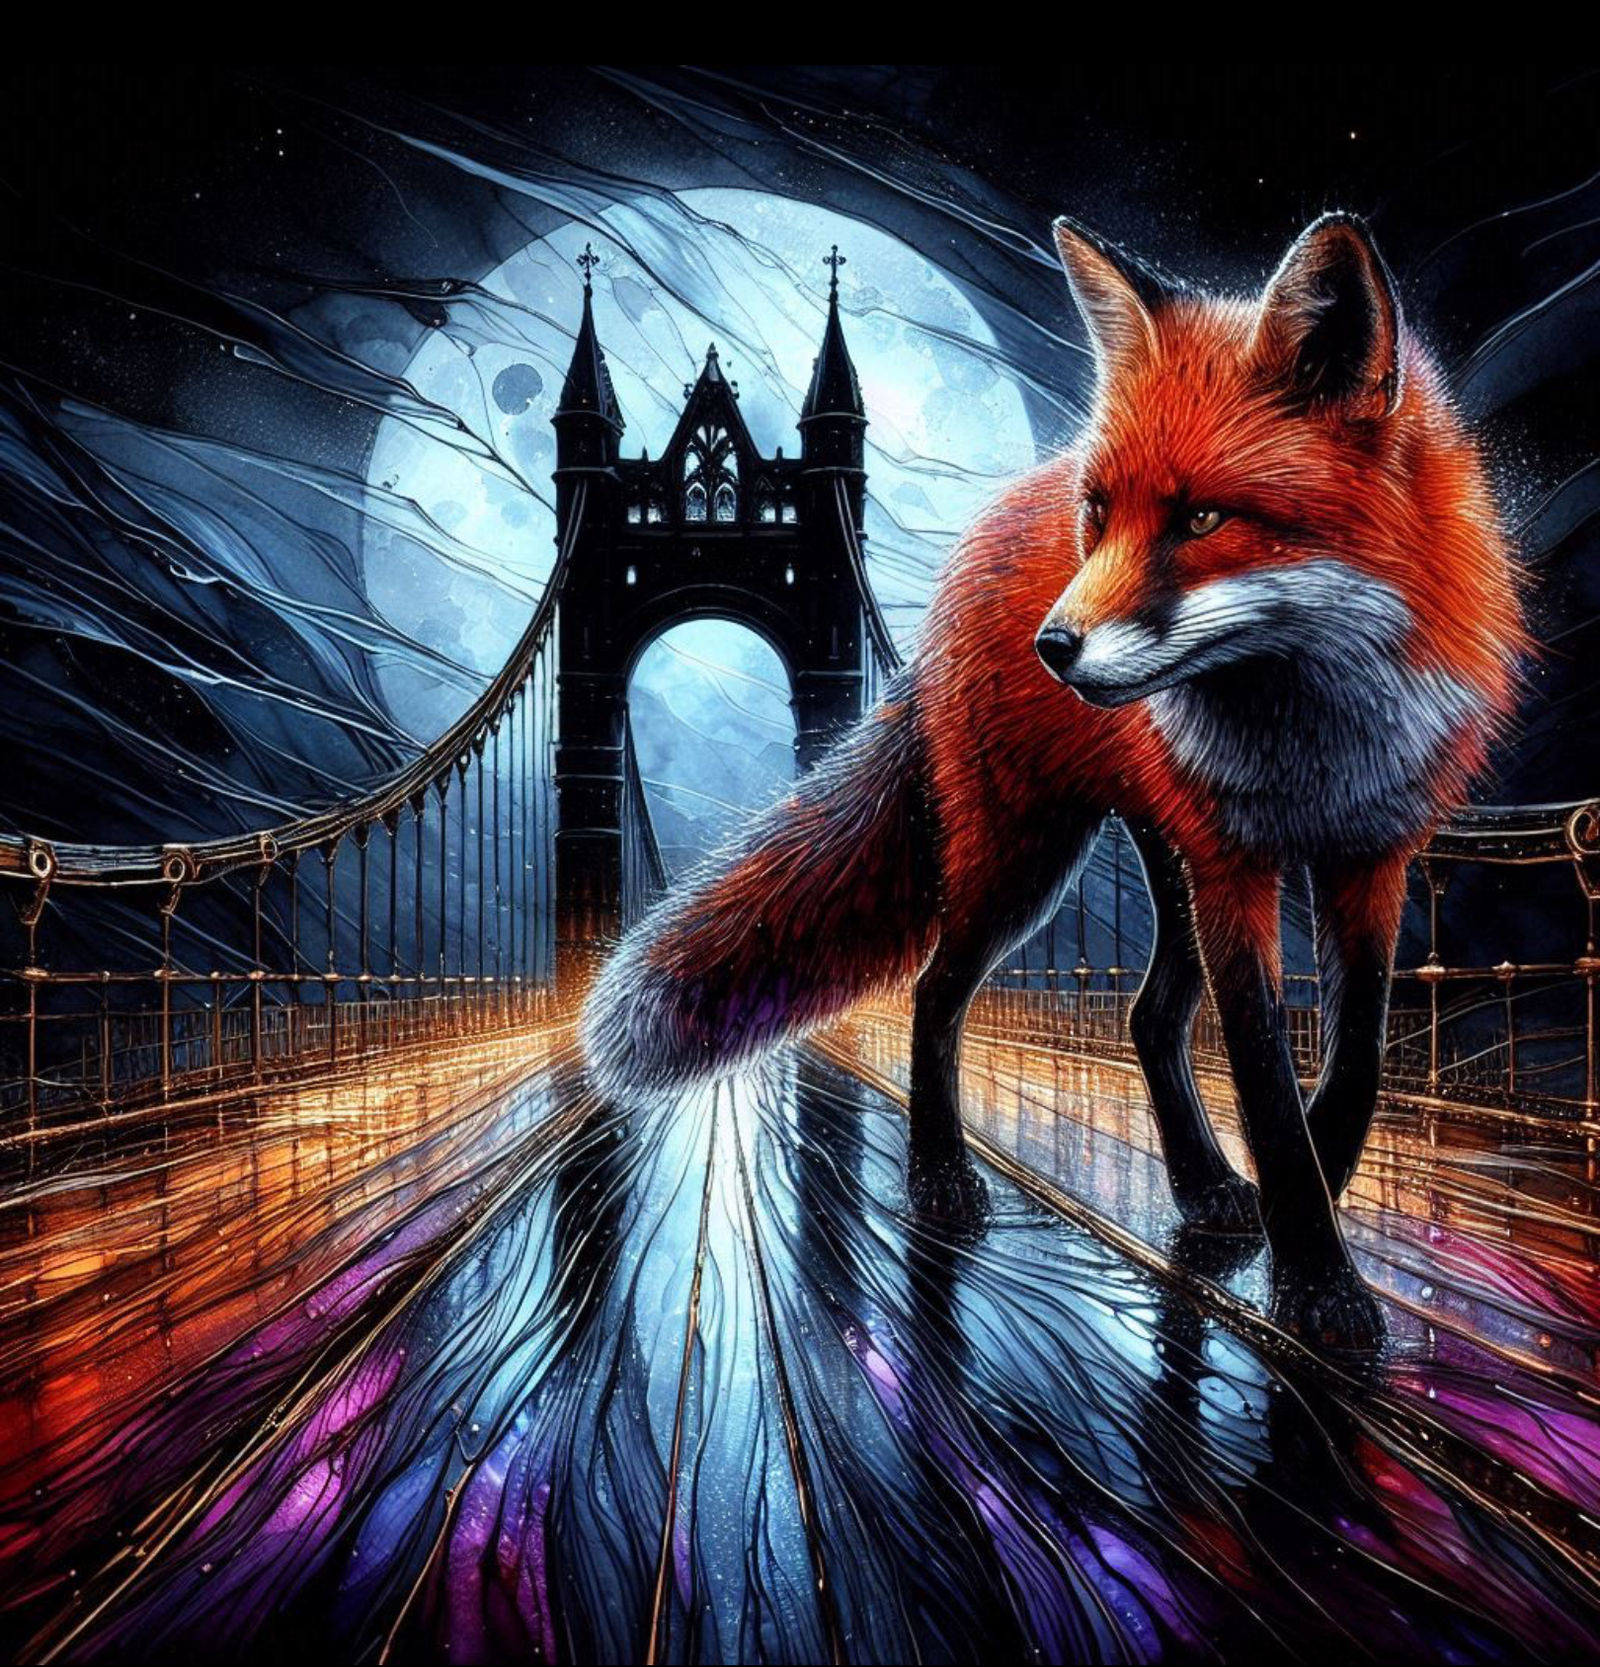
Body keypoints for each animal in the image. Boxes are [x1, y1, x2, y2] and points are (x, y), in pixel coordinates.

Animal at [582, 212, 1524, 1350]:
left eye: (1203, 520)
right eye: (1101, 511)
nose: (1054, 648)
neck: (1311, 729)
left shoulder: (1369, 855)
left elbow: (1352, 1069)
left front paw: (1308, 1217)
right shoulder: (1235, 866)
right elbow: (1264, 1077)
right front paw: (1313, 1278)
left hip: (1157, 861)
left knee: (1150, 1015)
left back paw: (1204, 1189)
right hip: (1023, 854)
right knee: (937, 989)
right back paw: (941, 1177)